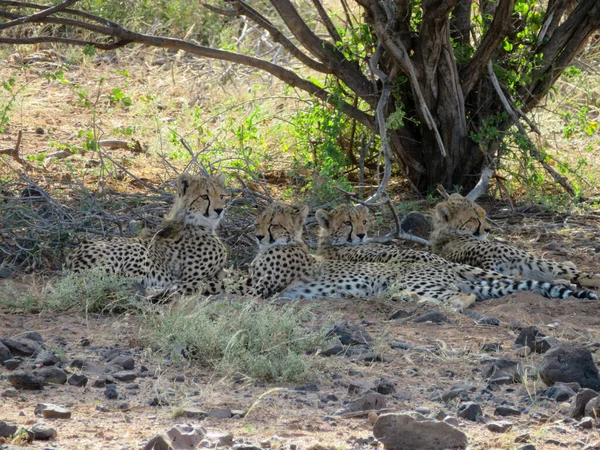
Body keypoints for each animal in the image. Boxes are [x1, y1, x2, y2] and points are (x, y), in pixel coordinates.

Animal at [67, 172, 229, 296]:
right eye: (204, 197)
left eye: (221, 196)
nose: (219, 210)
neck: (193, 222)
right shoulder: (188, 277)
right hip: (136, 250)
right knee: (128, 284)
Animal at [240, 201, 592, 310]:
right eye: (259, 223)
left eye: (363, 221)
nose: (257, 235)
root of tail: (450, 270)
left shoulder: (261, 288)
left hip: (422, 279)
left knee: (462, 298)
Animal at [428, 193, 600, 288]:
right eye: (474, 218)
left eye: (484, 214)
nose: (488, 229)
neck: (448, 232)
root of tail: (486, 259)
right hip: (531, 259)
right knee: (578, 275)